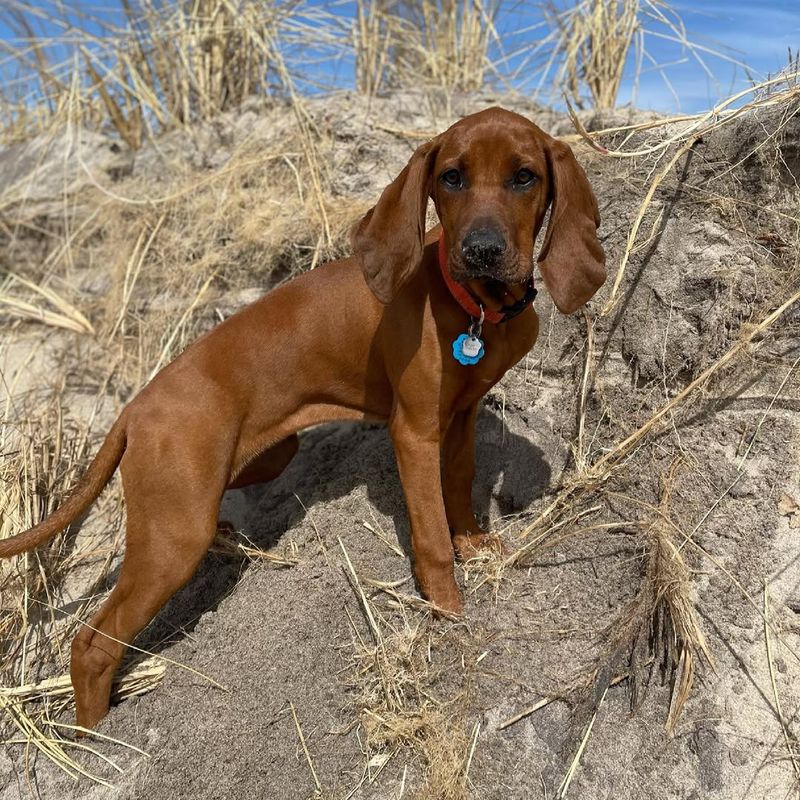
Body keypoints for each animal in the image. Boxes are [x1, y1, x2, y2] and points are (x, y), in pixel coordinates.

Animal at [0, 108, 604, 732]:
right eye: (452, 177)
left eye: (525, 177)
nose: (481, 250)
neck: (473, 306)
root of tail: (133, 408)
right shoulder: (414, 432)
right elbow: (431, 533)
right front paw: (447, 608)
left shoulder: (460, 417)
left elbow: (458, 490)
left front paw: (474, 545)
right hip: (174, 537)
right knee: (91, 643)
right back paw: (94, 734)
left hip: (252, 463)